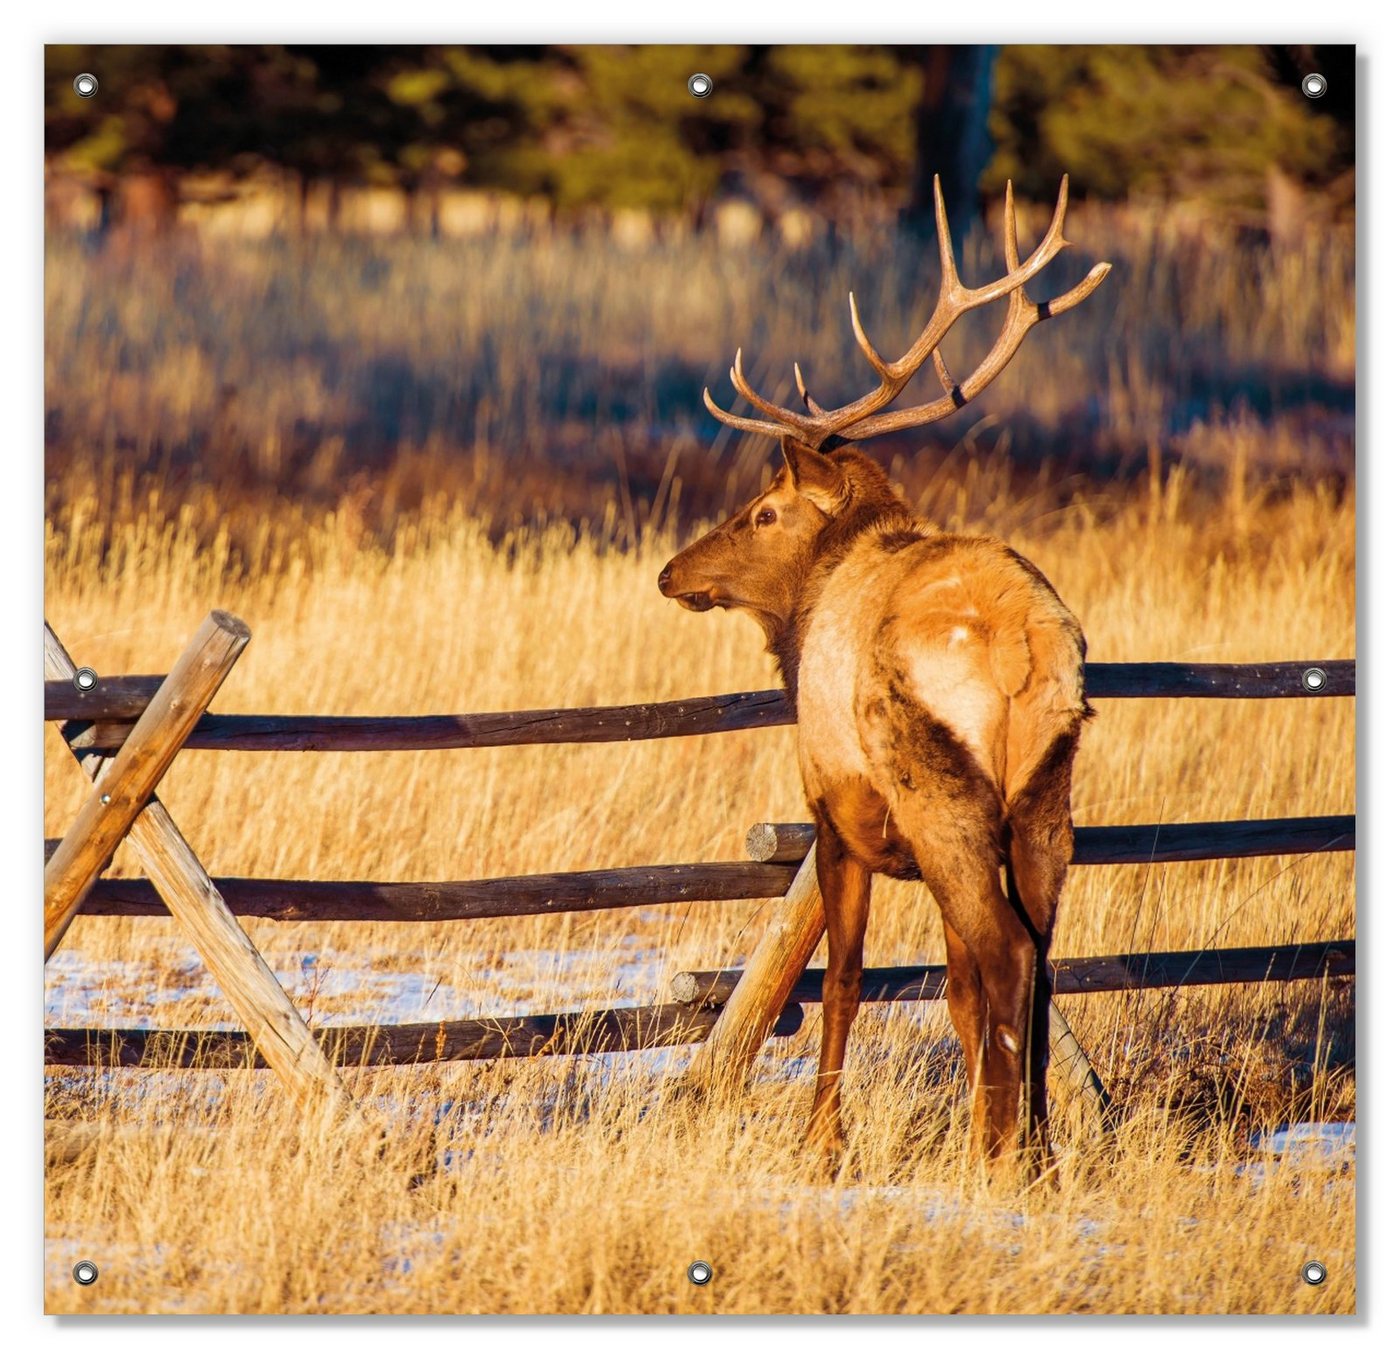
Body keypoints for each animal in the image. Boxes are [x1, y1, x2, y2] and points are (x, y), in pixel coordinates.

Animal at [660, 177, 1108, 1170]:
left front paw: (822, 1142)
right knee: (1039, 951)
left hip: (937, 785)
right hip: (1045, 791)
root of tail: (1019, 646)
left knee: (1008, 950)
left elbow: (845, 978)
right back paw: (1037, 1148)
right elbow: (956, 992)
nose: (672, 571)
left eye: (762, 511)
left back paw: (1002, 1152)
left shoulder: (834, 807)